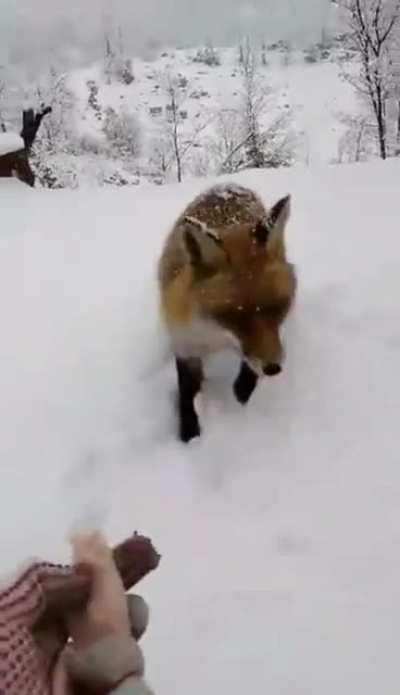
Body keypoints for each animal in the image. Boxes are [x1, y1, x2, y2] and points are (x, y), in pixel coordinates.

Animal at [158, 182, 297, 443]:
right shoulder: (185, 342)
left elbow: (249, 368)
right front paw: (189, 435)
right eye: (235, 315)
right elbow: (187, 393)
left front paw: (242, 391)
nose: (273, 369)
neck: (215, 334)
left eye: (278, 307)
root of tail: (227, 185)